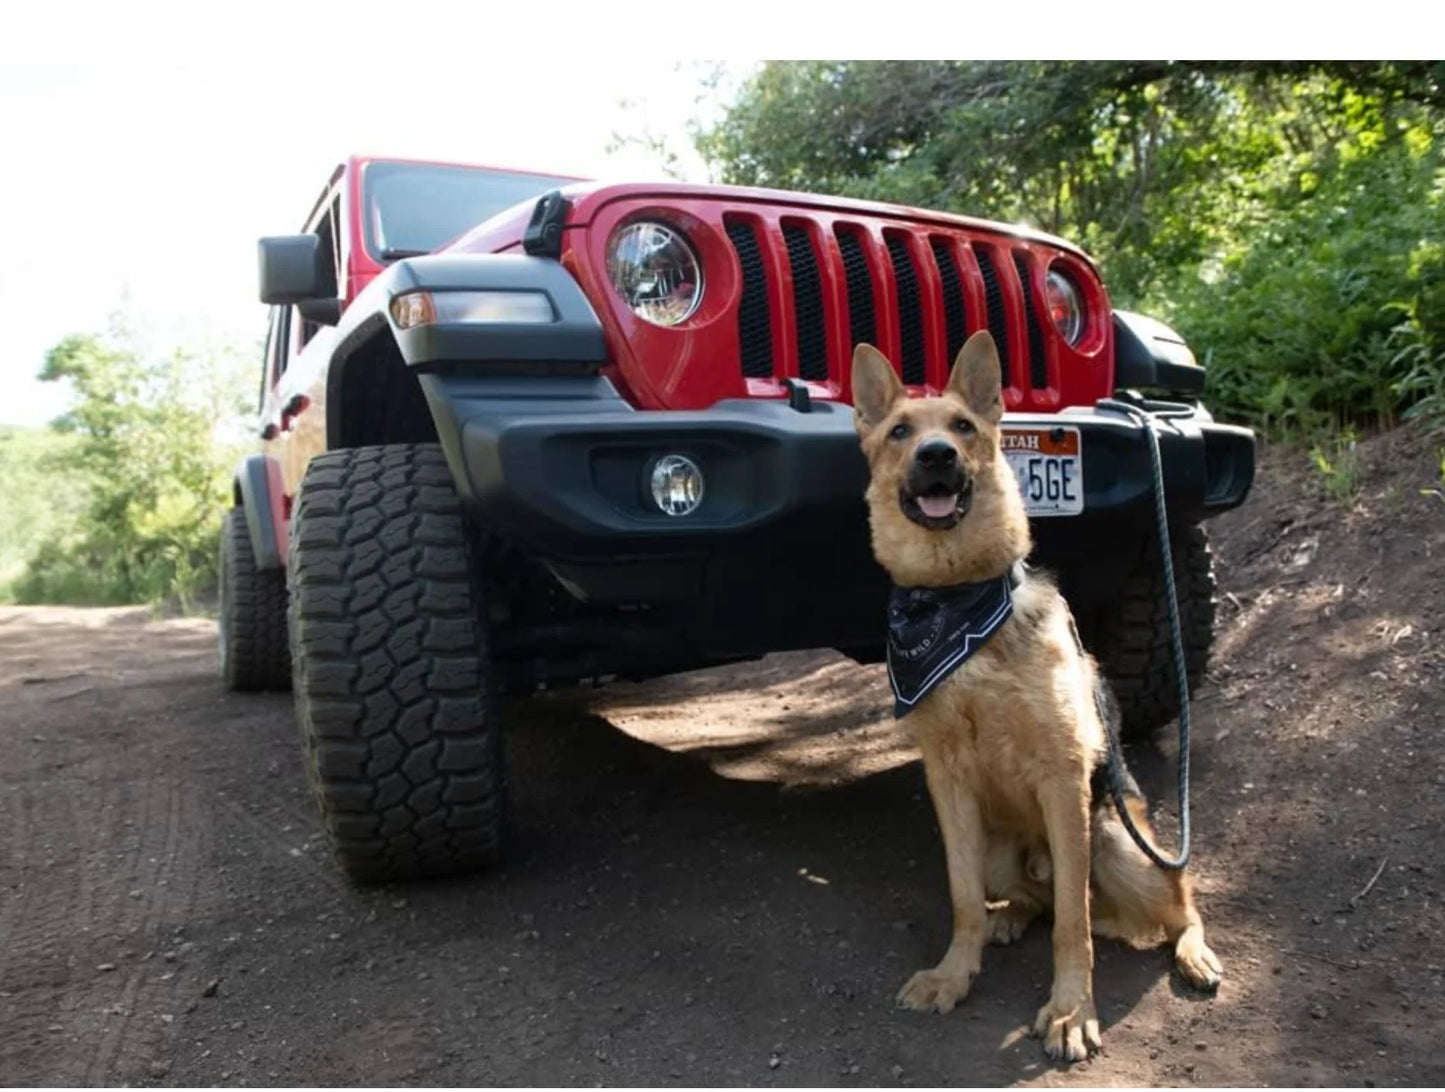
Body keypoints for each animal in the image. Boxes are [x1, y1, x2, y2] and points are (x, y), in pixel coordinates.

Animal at [849, 330, 1225, 1057]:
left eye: (963, 428)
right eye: (900, 431)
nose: (936, 455)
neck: (957, 603)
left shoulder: (1062, 780)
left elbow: (1073, 926)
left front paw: (1071, 1010)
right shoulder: (949, 786)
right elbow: (961, 896)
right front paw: (955, 972)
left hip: (1117, 847)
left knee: (1171, 902)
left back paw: (1192, 951)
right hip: (999, 850)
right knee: (1028, 900)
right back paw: (1006, 918)